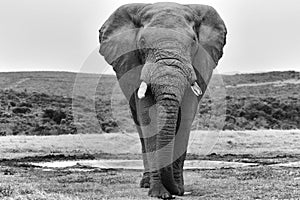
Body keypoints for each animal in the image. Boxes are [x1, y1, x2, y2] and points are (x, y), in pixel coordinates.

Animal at [99, 1, 226, 198]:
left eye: (193, 42)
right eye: (142, 42)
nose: (176, 191)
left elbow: (186, 115)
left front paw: (178, 189)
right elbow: (147, 117)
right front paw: (159, 193)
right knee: (140, 126)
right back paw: (146, 183)